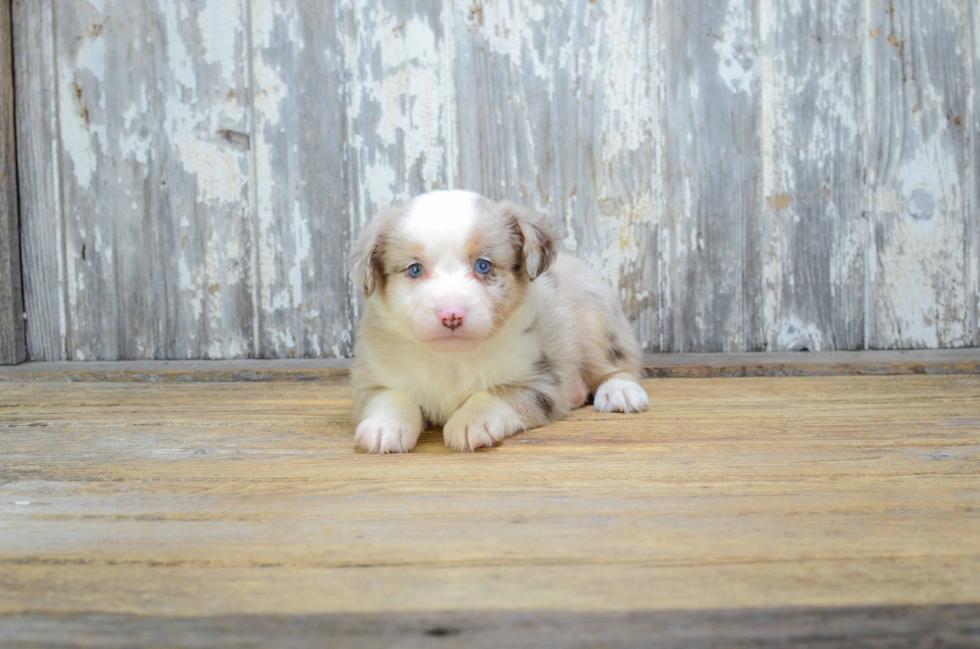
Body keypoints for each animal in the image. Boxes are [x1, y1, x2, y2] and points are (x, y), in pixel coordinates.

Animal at [348, 190, 648, 454]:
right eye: (414, 269)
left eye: (483, 265)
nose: (451, 315)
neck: (451, 358)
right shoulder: (370, 379)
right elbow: (392, 396)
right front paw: (384, 426)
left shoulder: (542, 381)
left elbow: (494, 393)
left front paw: (471, 421)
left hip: (595, 317)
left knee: (617, 363)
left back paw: (619, 391)